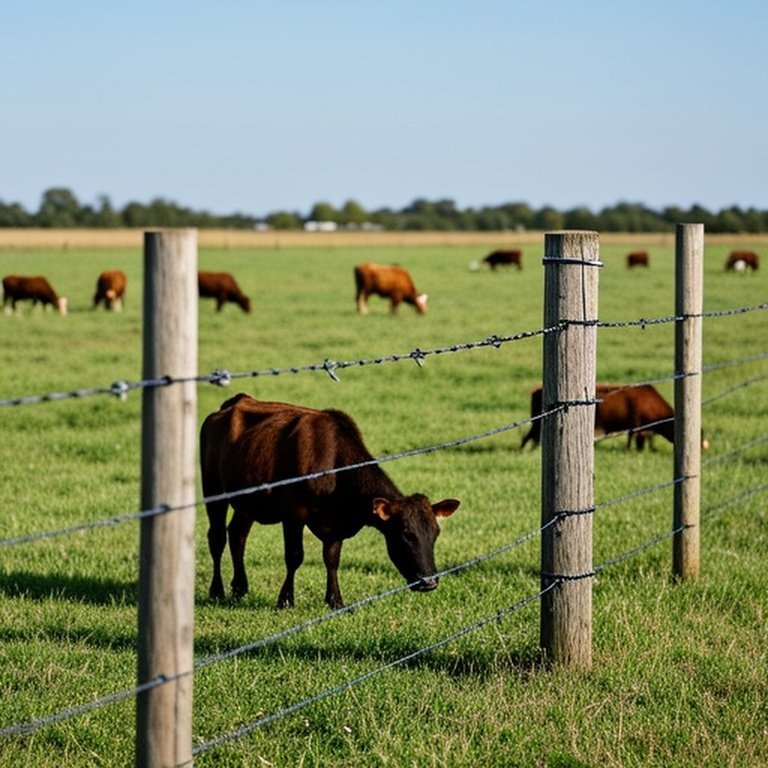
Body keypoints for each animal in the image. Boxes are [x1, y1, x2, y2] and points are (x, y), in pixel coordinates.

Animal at [200, 394, 460, 608]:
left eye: (435, 533)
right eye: (405, 534)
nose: (429, 582)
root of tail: (234, 402)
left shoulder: (336, 525)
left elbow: (332, 559)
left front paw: (335, 600)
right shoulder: (293, 514)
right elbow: (294, 555)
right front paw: (286, 600)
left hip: (247, 500)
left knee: (237, 534)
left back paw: (239, 587)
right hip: (212, 489)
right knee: (217, 537)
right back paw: (217, 590)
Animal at [520, 383, 708, 451]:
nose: (702, 448)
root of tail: (537, 389)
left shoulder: (639, 427)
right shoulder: (637, 425)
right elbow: (636, 440)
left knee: (532, 438)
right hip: (537, 424)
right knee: (528, 437)